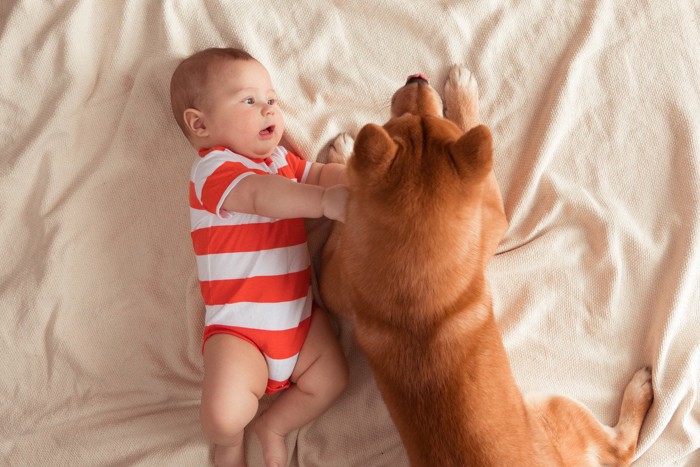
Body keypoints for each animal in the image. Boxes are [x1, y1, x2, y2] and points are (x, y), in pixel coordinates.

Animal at [320, 66, 652, 467]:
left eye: (401, 121)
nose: (417, 79)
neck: (415, 301)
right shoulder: (491, 218)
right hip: (554, 406)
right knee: (620, 450)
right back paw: (640, 391)